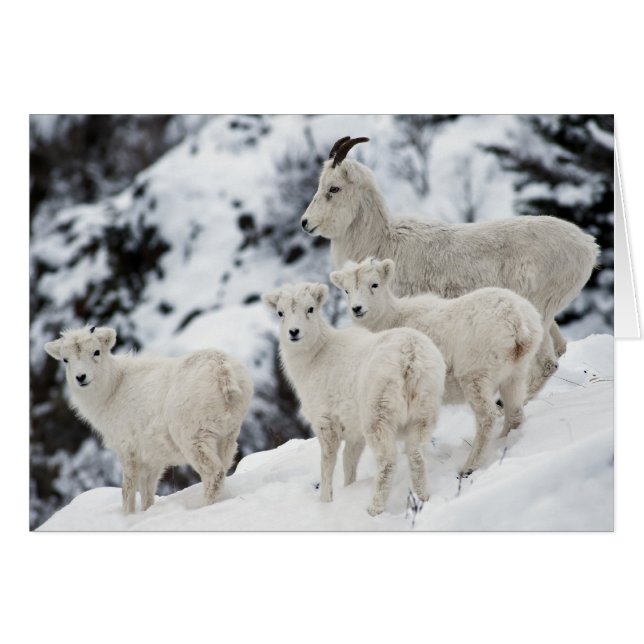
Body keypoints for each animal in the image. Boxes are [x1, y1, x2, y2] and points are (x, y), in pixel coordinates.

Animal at [44, 325, 253, 513]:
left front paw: (128, 517)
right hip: (227, 436)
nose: (81, 377)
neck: (113, 390)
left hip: (194, 439)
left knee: (213, 473)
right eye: (65, 359)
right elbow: (147, 494)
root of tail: (222, 370)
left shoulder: (128, 452)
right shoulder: (152, 461)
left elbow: (128, 491)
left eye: (96, 352)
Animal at [262, 282, 446, 516]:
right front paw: (348, 488)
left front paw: (325, 502)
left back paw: (374, 509)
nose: (294, 332)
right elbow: (349, 463)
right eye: (280, 313)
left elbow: (328, 464)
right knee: (417, 456)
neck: (314, 358)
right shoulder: (354, 432)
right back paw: (423, 499)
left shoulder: (326, 423)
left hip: (379, 417)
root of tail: (410, 357)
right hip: (423, 414)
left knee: (387, 463)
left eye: (310, 309)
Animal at [301, 136, 599, 399]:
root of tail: (588, 246)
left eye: (334, 188)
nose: (306, 223)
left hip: (540, 310)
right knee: (558, 350)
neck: (383, 240)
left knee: (547, 363)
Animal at [330, 258, 544, 476]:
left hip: (475, 377)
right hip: (514, 375)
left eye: (374, 284)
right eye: (346, 290)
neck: (392, 319)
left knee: (487, 418)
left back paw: (469, 466)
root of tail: (517, 320)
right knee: (515, 414)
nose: (357, 308)